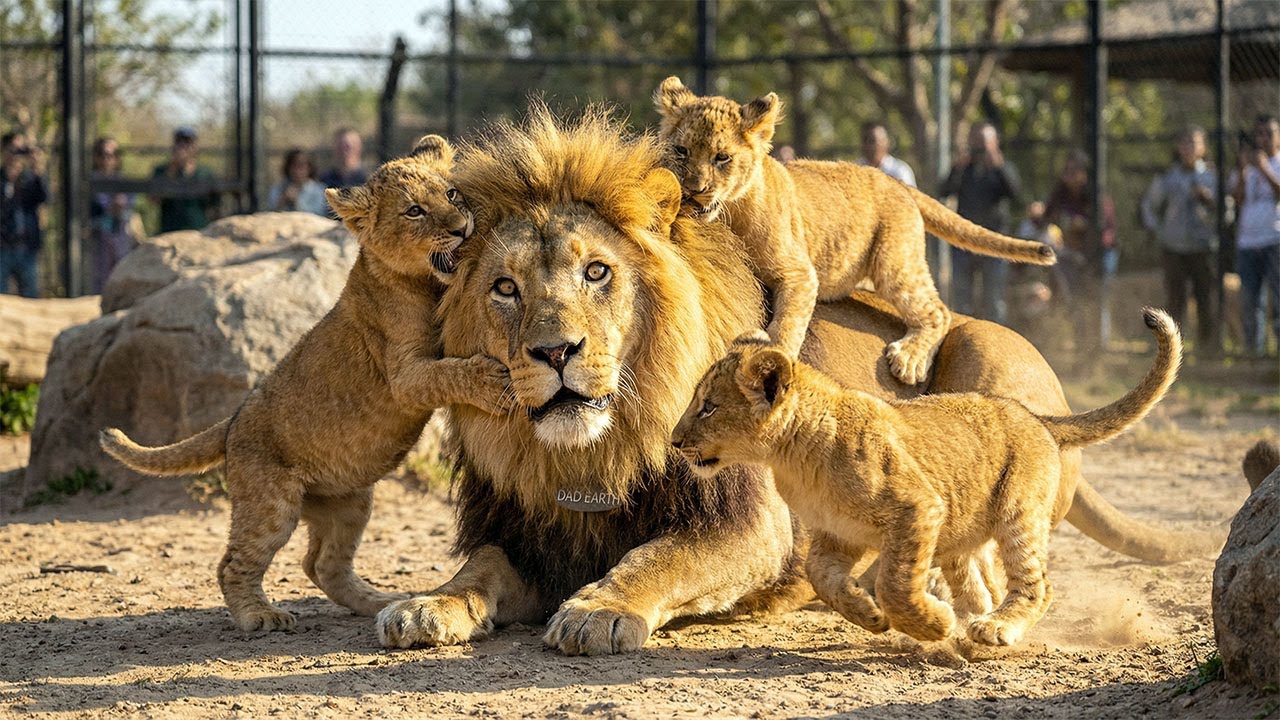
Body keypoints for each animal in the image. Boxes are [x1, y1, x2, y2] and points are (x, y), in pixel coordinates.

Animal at [99, 136, 510, 632]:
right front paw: (489, 379)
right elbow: (446, 372)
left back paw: (377, 600)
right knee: (233, 563)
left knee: (321, 564)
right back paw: (260, 615)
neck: (422, 282)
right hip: (271, 504)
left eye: (451, 194)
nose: (462, 229)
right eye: (414, 211)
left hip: (351, 502)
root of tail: (232, 422)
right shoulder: (404, 375)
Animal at [653, 77, 1055, 385]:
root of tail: (895, 181)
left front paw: (772, 354)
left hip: (894, 262)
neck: (728, 213)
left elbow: (787, 324)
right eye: (682, 150)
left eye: (722, 158)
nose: (694, 189)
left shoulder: (799, 273)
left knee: (937, 310)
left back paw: (909, 358)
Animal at [671, 308, 1181, 646]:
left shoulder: (917, 508)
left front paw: (929, 622)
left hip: (1017, 512)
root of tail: (1037, 417)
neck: (791, 456)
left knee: (1037, 585)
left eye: (709, 406)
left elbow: (896, 583)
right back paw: (966, 629)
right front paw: (870, 615)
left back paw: (993, 628)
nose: (673, 440)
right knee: (981, 585)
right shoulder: (837, 534)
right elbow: (823, 579)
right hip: (962, 533)